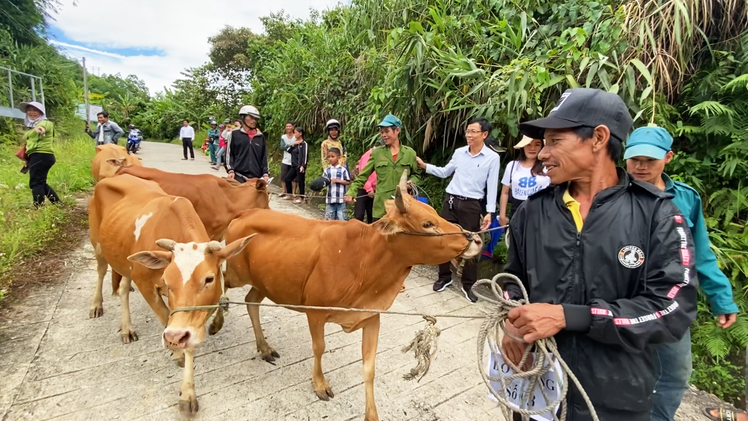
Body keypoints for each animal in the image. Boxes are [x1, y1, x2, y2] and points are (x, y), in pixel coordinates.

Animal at [89, 174, 253, 414]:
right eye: (167, 280)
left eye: (209, 279)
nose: (173, 338)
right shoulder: (146, 284)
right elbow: (166, 318)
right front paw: (176, 353)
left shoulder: (194, 315)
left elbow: (189, 342)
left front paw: (187, 394)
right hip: (98, 243)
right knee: (101, 271)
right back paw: (96, 305)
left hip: (125, 259)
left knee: (123, 287)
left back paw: (127, 327)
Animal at [219, 171, 482, 420]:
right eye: (427, 224)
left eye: (436, 213)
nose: (477, 239)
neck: (365, 262)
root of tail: (244, 214)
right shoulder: (315, 313)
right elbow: (319, 348)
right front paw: (320, 384)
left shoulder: (371, 317)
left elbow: (369, 368)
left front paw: (372, 414)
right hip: (235, 273)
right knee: (220, 280)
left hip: (264, 283)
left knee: (251, 301)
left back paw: (264, 348)